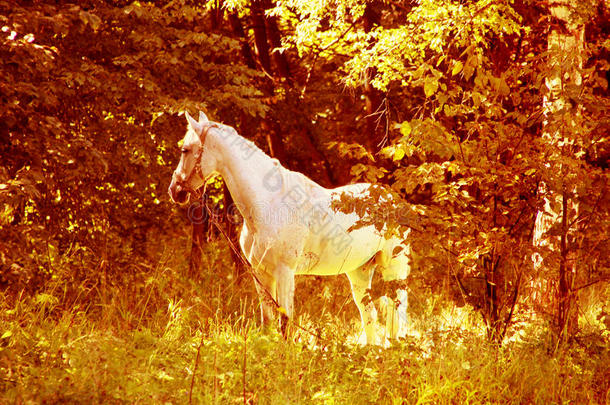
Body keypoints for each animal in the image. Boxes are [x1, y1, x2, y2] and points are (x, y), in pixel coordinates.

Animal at [169, 111, 408, 344]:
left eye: (185, 150)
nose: (175, 190)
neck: (269, 204)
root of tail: (394, 200)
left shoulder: (285, 271)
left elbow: (285, 323)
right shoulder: (261, 273)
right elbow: (267, 322)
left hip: (394, 269)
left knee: (397, 312)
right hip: (359, 271)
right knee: (369, 313)